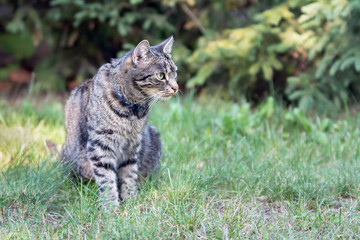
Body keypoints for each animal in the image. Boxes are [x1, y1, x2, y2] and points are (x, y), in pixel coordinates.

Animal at [60, 36, 179, 207]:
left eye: (175, 73)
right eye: (160, 75)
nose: (176, 87)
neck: (132, 110)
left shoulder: (133, 144)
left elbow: (129, 174)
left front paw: (131, 200)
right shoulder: (100, 145)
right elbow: (106, 178)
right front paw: (111, 206)